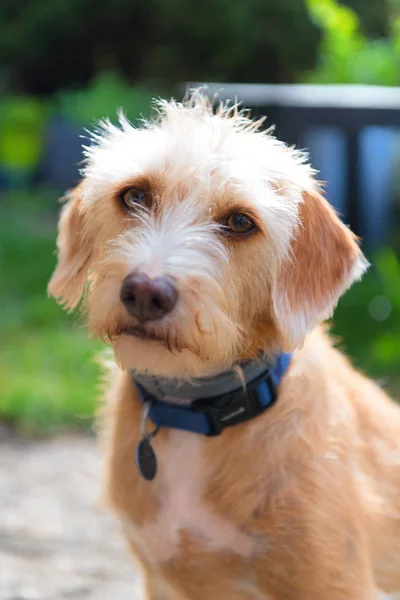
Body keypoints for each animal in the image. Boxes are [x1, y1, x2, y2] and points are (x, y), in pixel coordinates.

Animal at [48, 90, 398, 600]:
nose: (146, 292)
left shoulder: (336, 584)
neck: (192, 413)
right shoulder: (161, 580)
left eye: (239, 221)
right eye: (134, 195)